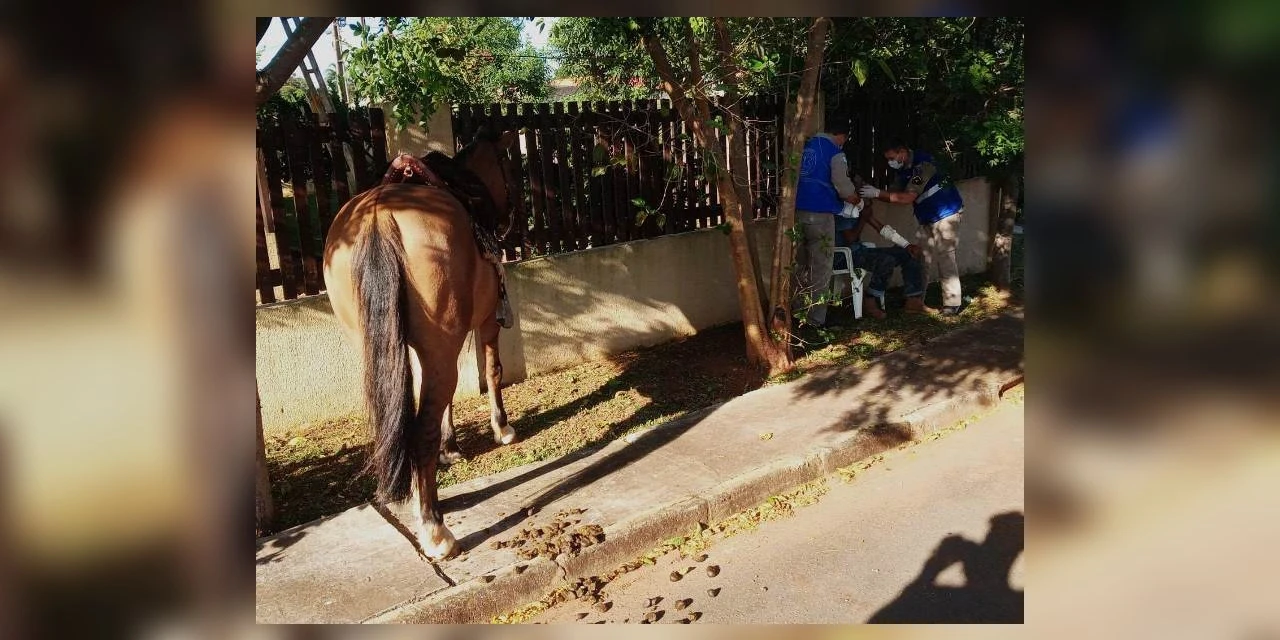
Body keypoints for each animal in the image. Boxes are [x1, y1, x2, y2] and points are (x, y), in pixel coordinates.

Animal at [322, 128, 523, 560]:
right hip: (441, 346)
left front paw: (451, 449)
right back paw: (434, 528)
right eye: (509, 164)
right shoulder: (484, 323)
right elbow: (492, 371)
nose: (511, 217)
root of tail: (378, 215)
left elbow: (448, 399)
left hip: (381, 347)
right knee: (421, 431)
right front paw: (502, 428)